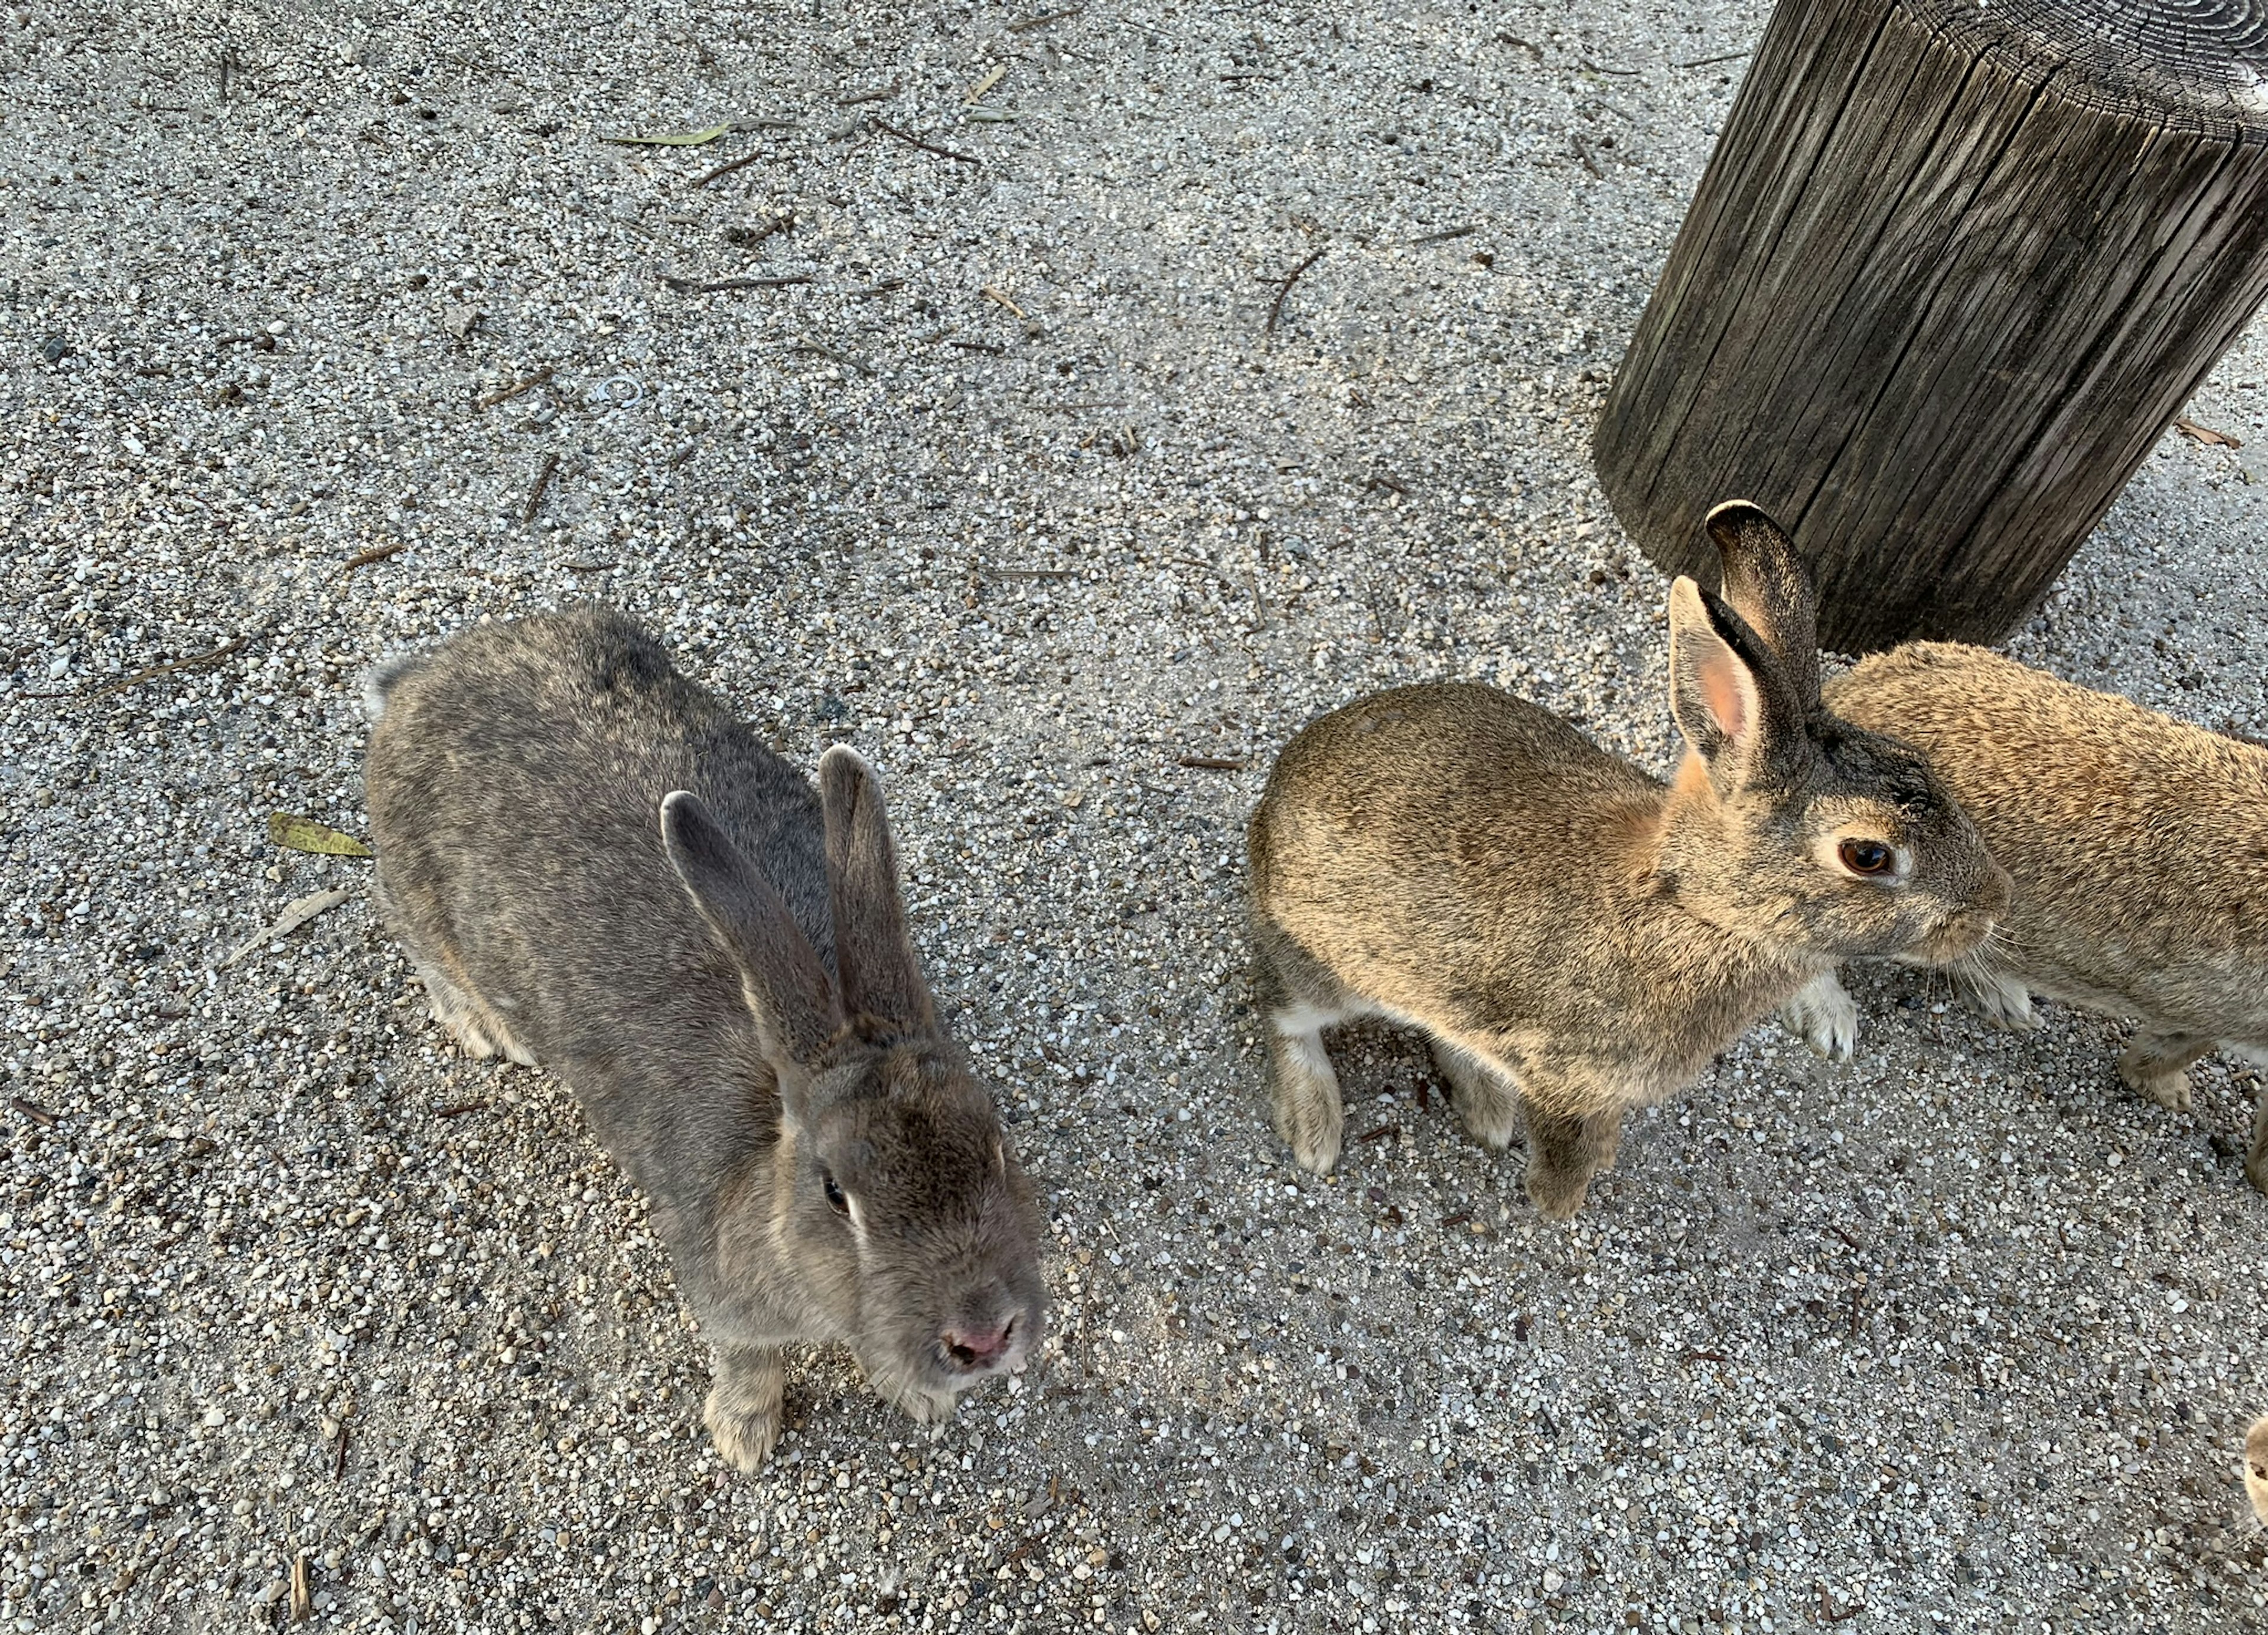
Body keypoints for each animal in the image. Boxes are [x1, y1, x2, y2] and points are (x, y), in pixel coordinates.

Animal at [363, 603, 1043, 1469]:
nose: (982, 1336)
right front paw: (742, 1435)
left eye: (995, 1142)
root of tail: (418, 681)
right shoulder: (724, 1298)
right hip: (414, 890)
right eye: (835, 1191)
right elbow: (748, 1359)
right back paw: (490, 1029)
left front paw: (918, 1397)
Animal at [1252, 503, 2013, 1215]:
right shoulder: (1566, 1076)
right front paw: (1557, 1203)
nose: (1992, 905)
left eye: (1919, 760)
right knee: (1285, 1014)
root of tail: (1272, 800)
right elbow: (1567, 1142)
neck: (1694, 907)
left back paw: (1488, 1109)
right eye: (1867, 853)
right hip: (1324, 966)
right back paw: (1316, 1129)